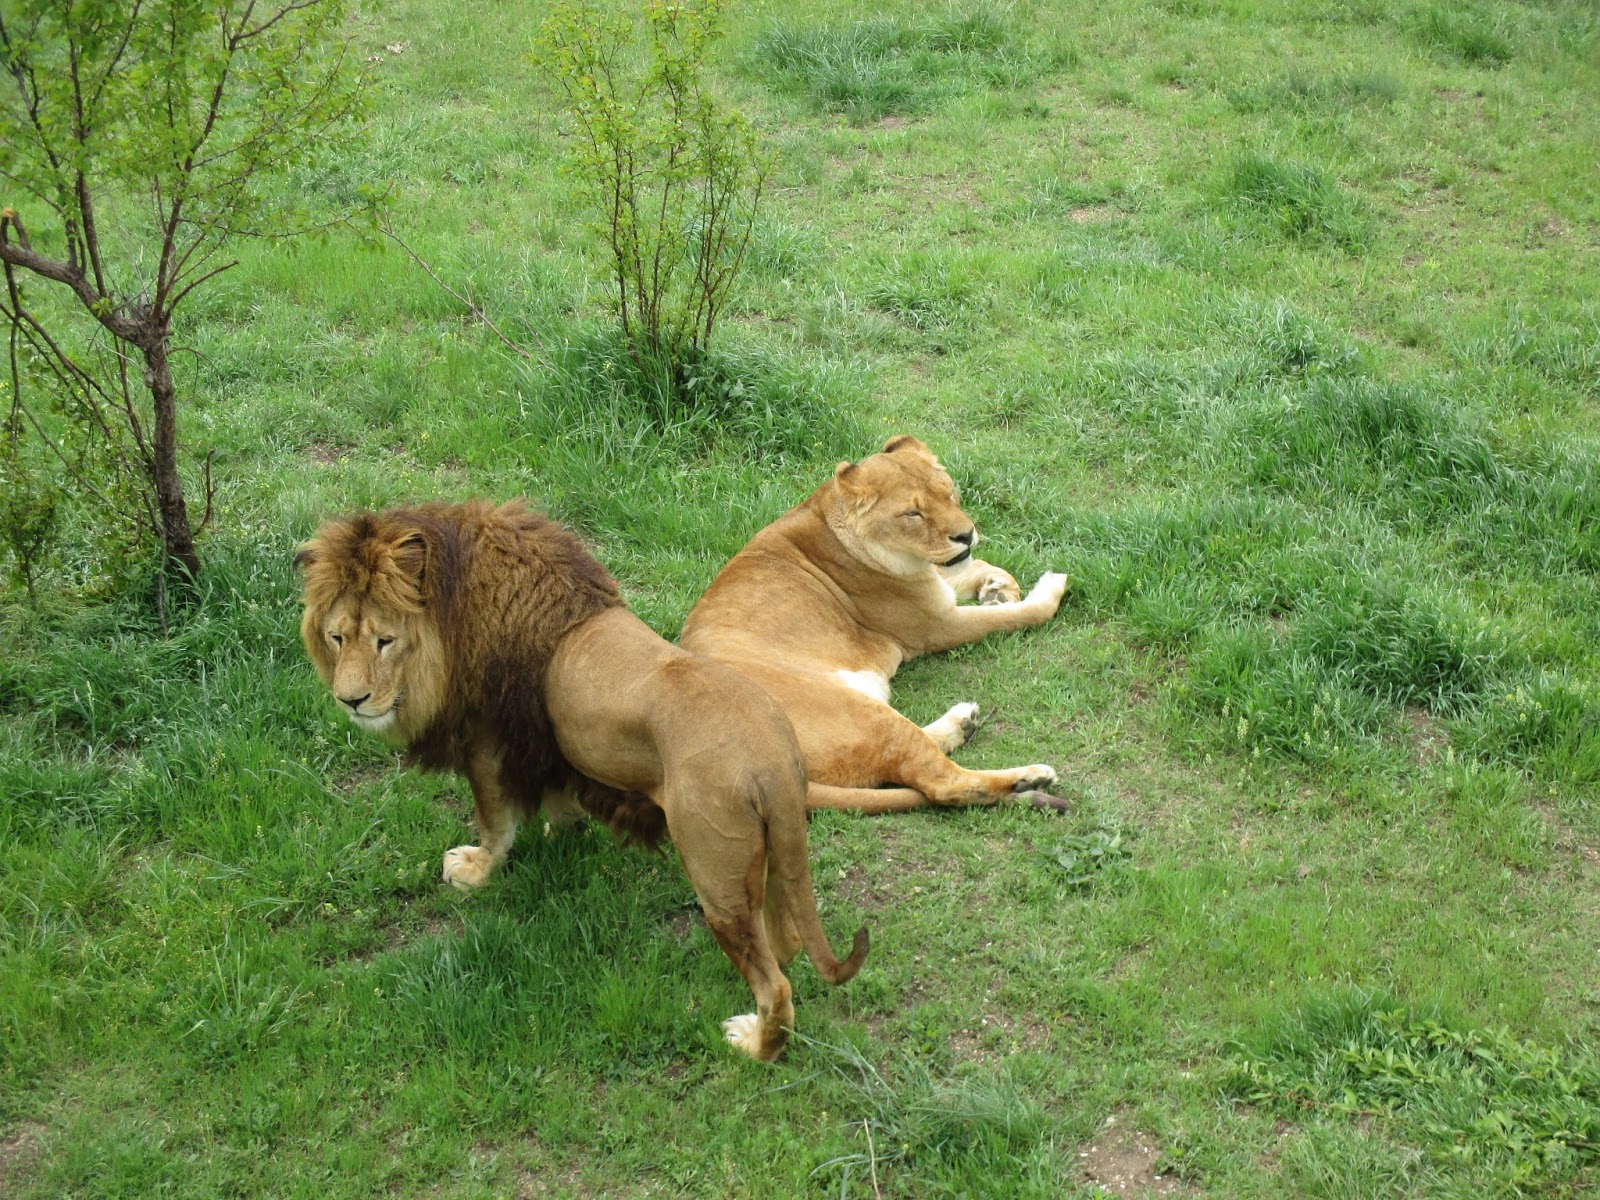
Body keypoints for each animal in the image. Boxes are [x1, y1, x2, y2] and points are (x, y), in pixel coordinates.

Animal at [300, 499, 876, 1062]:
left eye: (384, 641)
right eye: (336, 637)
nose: (350, 700)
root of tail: (775, 757)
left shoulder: (488, 740)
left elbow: (494, 820)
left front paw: (476, 869)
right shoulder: (550, 748)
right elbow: (559, 800)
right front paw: (561, 830)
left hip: (716, 873)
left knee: (775, 985)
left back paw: (754, 1044)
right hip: (774, 850)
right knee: (785, 940)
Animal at [681, 438, 1068, 812]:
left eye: (949, 492)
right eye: (912, 513)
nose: (966, 534)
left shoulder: (933, 581)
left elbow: (974, 569)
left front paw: (999, 588)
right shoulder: (938, 626)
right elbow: (1016, 616)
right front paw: (1043, 589)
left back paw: (963, 724)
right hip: (865, 716)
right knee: (941, 783)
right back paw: (1028, 780)